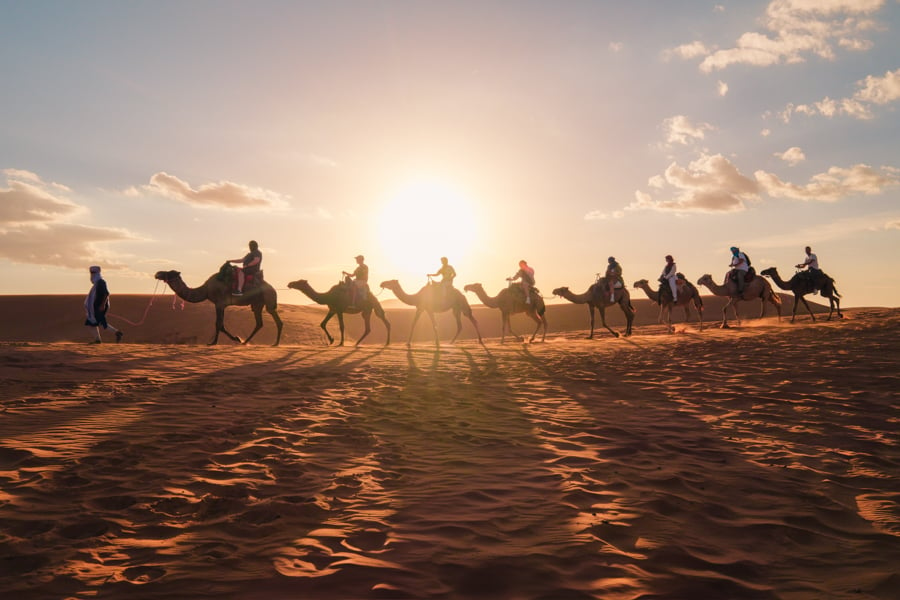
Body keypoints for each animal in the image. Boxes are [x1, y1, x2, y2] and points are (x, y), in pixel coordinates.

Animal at [154, 264, 282, 344]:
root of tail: (272, 288)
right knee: (259, 323)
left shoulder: (219, 303)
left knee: (273, 317)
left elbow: (218, 324)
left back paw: (274, 343)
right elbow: (221, 325)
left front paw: (214, 342)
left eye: (170, 273)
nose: (157, 273)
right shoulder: (222, 305)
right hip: (257, 303)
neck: (206, 290)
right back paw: (246, 342)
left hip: (268, 299)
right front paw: (237, 339)